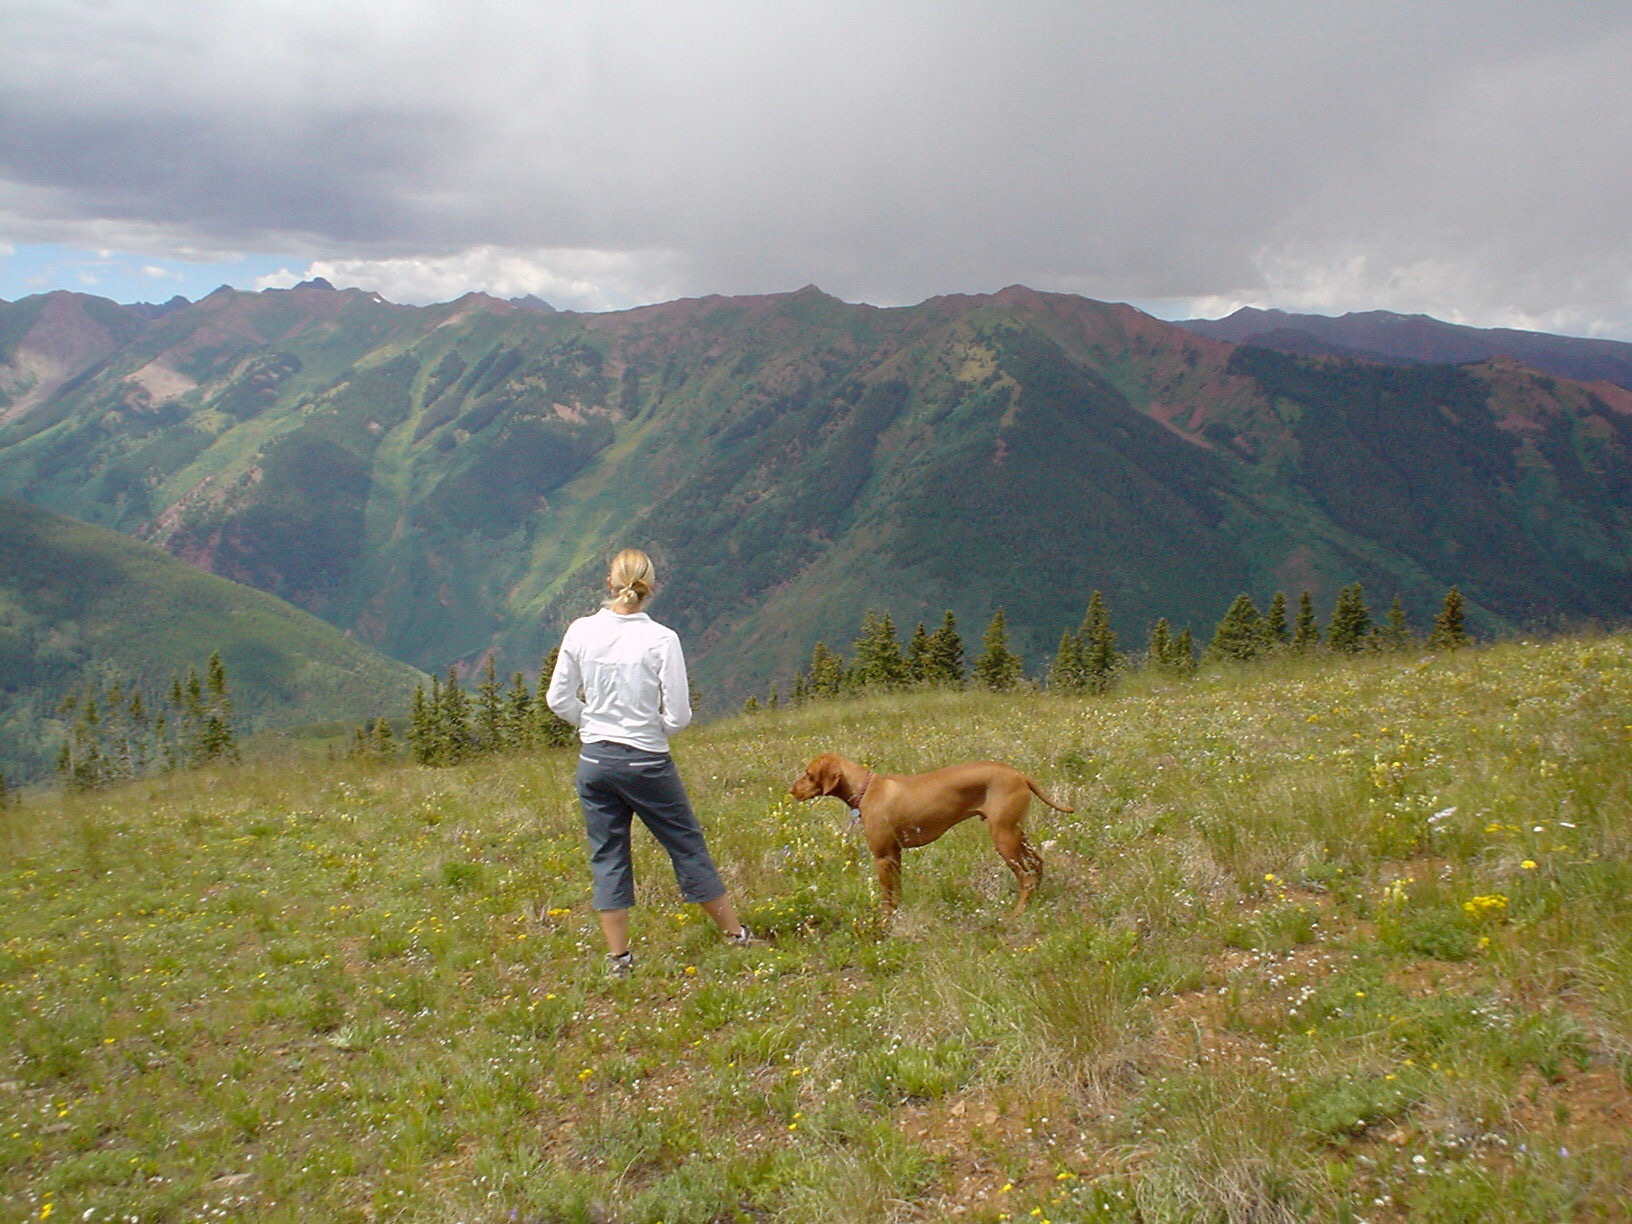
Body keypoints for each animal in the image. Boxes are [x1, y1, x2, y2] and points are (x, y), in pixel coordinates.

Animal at [788, 752, 1074, 918]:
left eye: (808, 774)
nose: (791, 791)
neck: (867, 789)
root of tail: (1018, 773)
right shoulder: (894, 855)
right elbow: (897, 893)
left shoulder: (882, 856)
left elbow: (885, 896)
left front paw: (883, 924)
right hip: (1014, 832)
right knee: (1037, 863)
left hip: (1003, 838)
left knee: (1026, 875)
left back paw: (1018, 912)